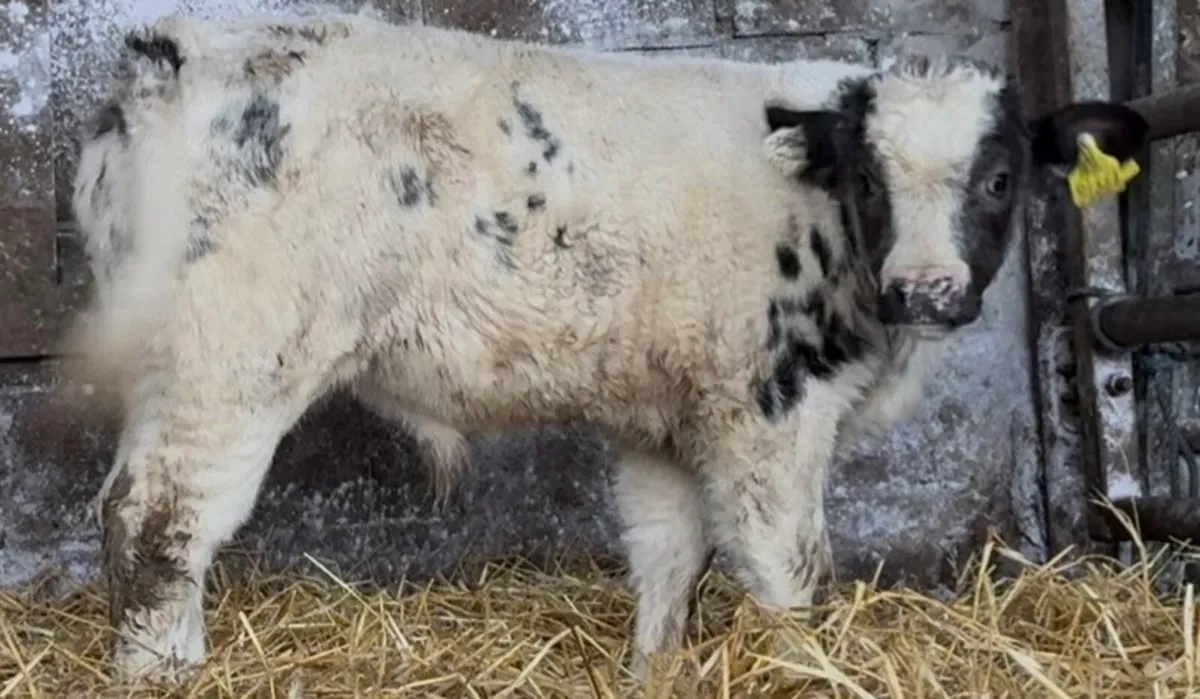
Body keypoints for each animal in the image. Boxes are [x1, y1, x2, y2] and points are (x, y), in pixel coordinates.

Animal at [65, 11, 1148, 682]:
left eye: (1000, 177)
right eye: (871, 181)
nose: (925, 289)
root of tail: (171, 50)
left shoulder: (662, 419)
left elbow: (668, 555)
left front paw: (656, 671)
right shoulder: (765, 409)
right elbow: (788, 568)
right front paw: (806, 666)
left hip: (170, 366)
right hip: (234, 359)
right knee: (160, 521)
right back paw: (168, 677)